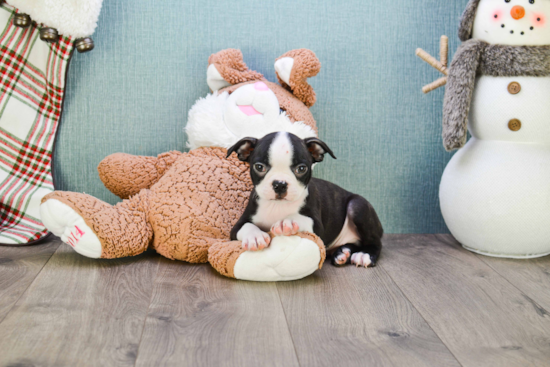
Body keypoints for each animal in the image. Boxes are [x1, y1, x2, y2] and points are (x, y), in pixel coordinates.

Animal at [227, 132, 384, 268]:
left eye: (301, 169)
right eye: (259, 167)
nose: (280, 184)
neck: (278, 206)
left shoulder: (317, 225)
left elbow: (300, 218)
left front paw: (287, 221)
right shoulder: (237, 226)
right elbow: (246, 226)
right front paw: (255, 236)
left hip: (358, 206)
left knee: (375, 242)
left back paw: (364, 254)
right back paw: (342, 253)